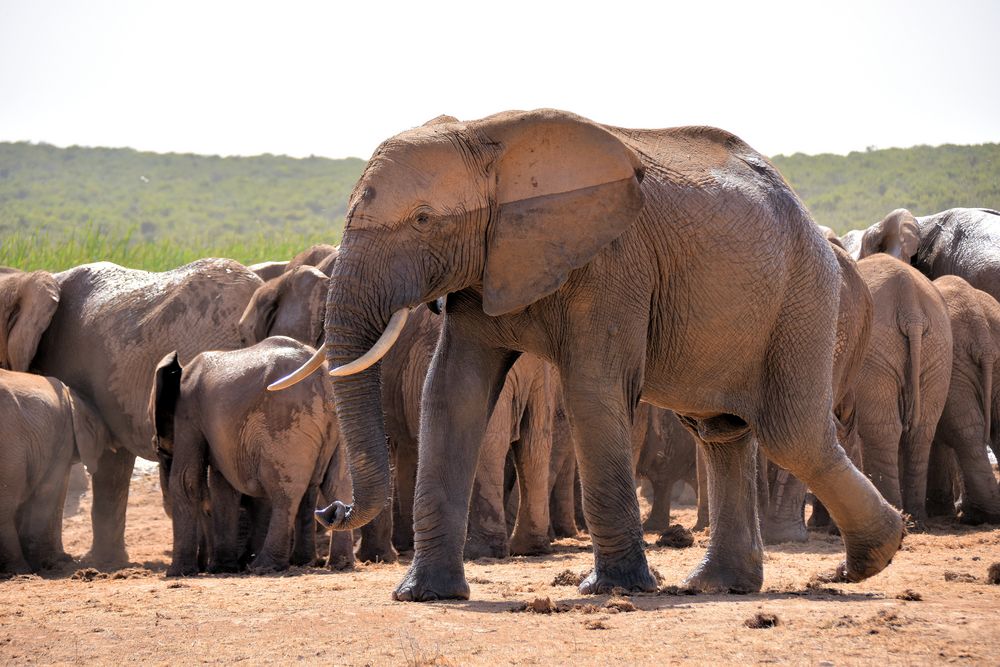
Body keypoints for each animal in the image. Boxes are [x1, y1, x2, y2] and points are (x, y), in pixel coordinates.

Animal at [149, 336, 348, 576]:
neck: (180, 369)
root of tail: (322, 380)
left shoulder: (188, 410)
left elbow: (186, 480)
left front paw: (178, 573)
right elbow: (222, 487)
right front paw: (221, 568)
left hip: (286, 421)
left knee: (286, 490)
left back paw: (265, 565)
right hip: (334, 424)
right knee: (334, 485)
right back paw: (329, 563)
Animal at [852, 254, 952, 528]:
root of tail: (910, 306)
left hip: (875, 350)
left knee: (882, 430)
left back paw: (899, 516)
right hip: (938, 349)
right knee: (921, 431)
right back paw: (916, 520)